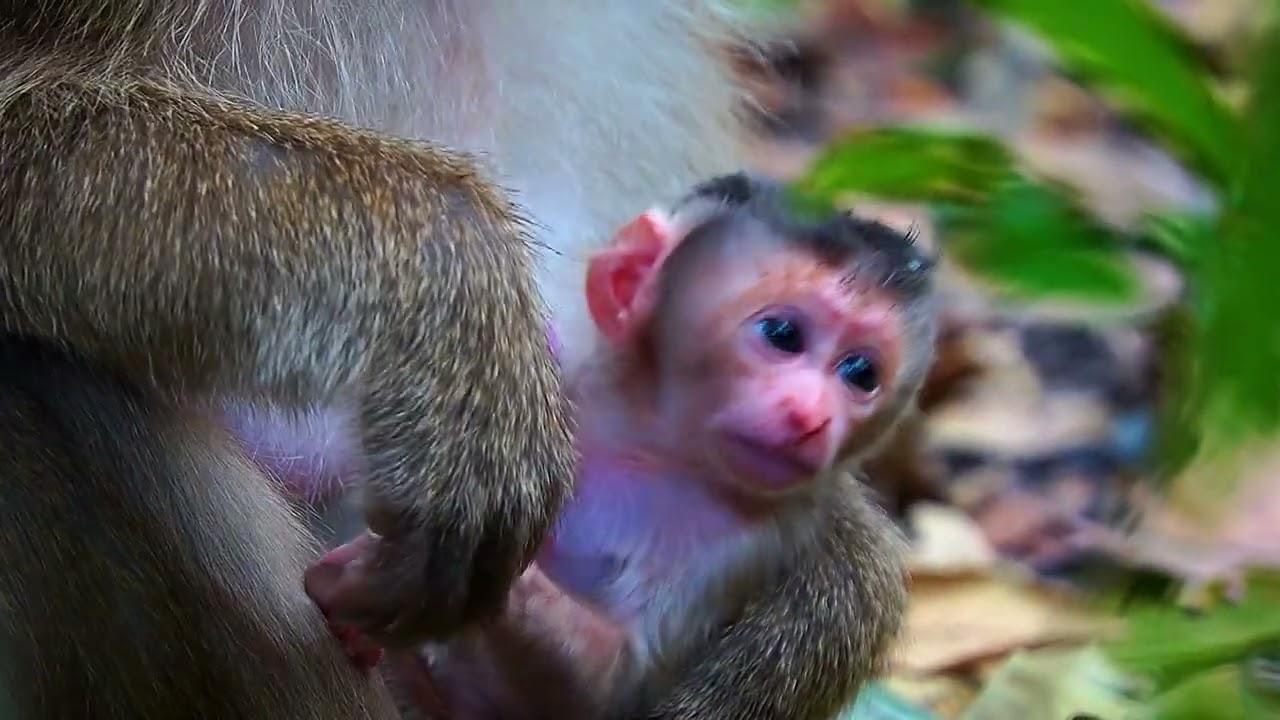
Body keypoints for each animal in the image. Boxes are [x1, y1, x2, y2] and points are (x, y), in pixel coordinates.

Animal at [377, 173, 939, 720]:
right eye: (783, 333)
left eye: (861, 373)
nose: (812, 417)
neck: (646, 451)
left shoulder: (745, 544)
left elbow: (611, 688)